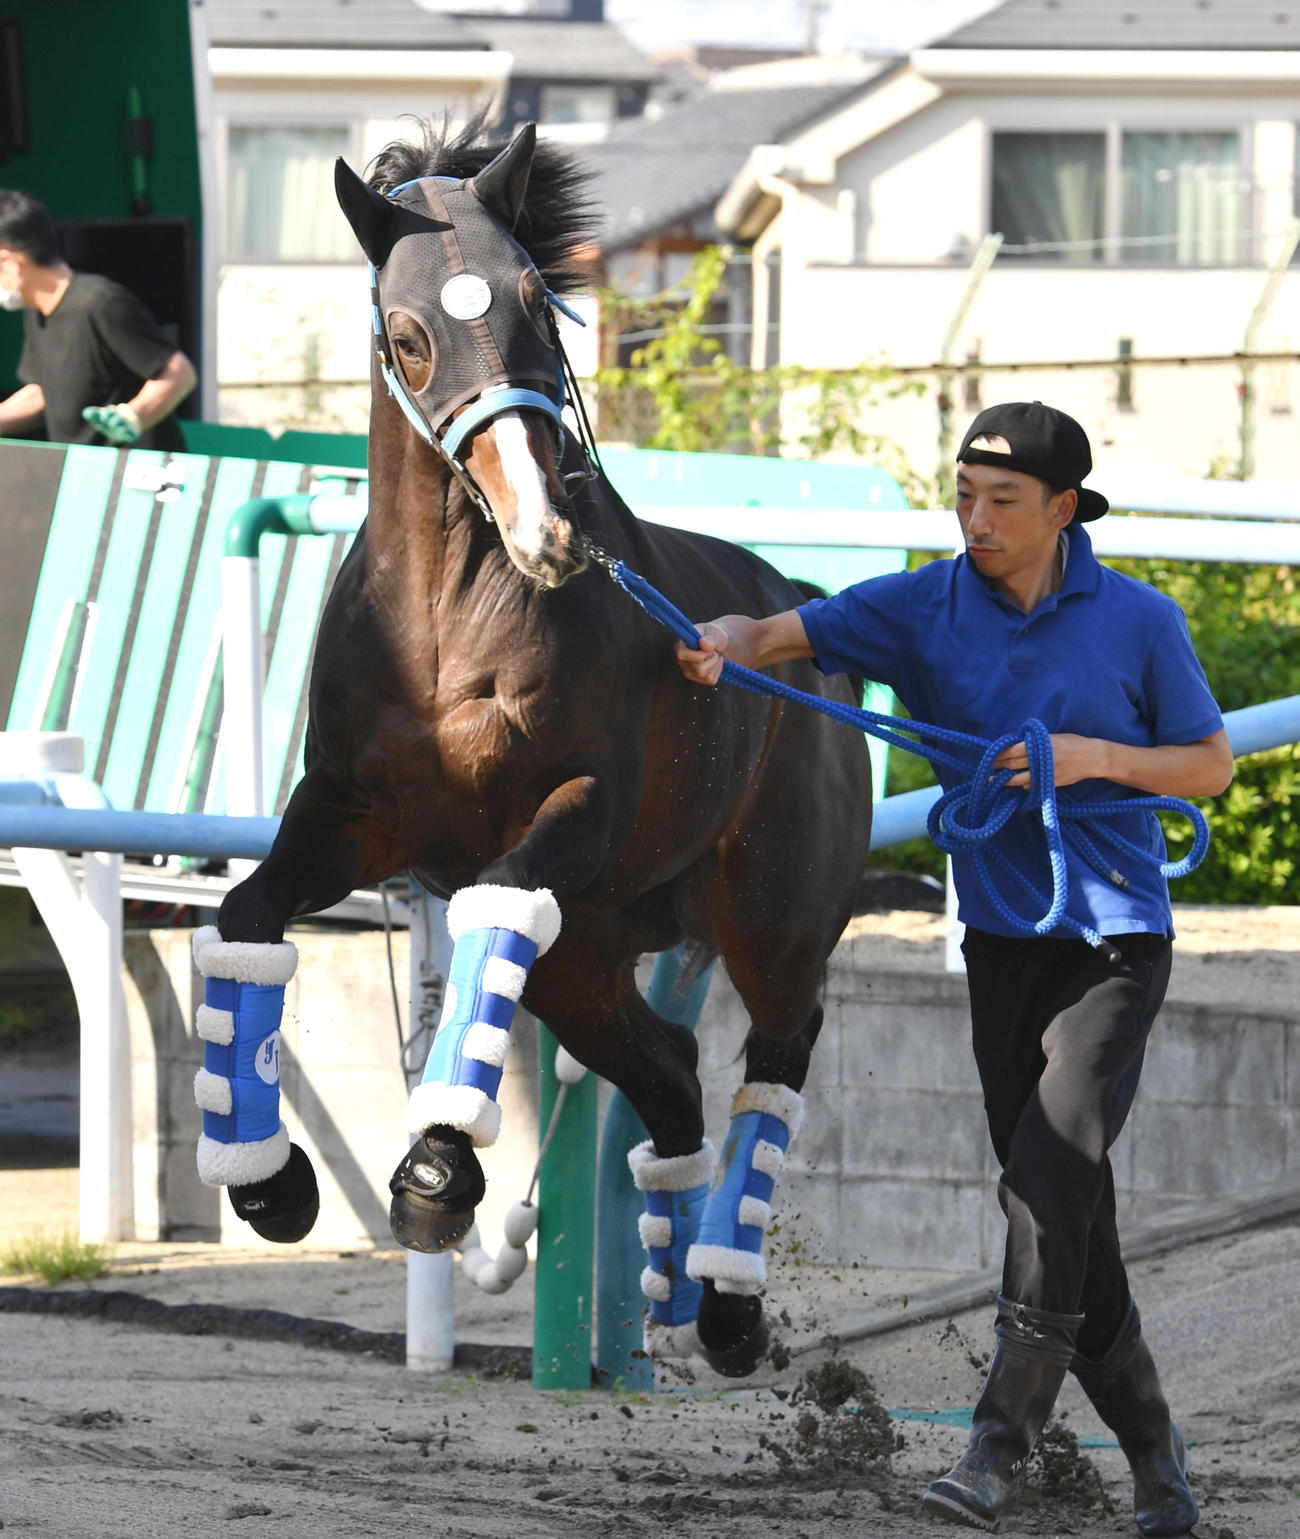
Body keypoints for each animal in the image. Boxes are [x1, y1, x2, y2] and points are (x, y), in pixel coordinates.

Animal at [190, 118, 873, 1378]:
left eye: (536, 312)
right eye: (408, 336)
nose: (545, 531)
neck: (445, 626)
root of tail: (799, 619)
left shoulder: (573, 811)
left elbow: (494, 910)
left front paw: (435, 1170)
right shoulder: (347, 816)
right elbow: (249, 919)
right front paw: (268, 1183)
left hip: (769, 916)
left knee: (777, 1052)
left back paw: (727, 1301)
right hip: (587, 960)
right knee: (668, 1068)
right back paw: (669, 1278)